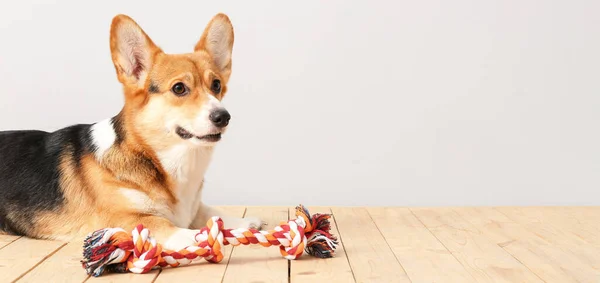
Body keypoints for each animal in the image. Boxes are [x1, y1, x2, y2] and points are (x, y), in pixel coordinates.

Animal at [0, 13, 262, 251]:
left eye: (216, 85)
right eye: (179, 88)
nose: (223, 117)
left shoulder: (193, 206)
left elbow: (208, 211)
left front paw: (242, 223)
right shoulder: (118, 218)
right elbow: (158, 222)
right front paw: (193, 235)